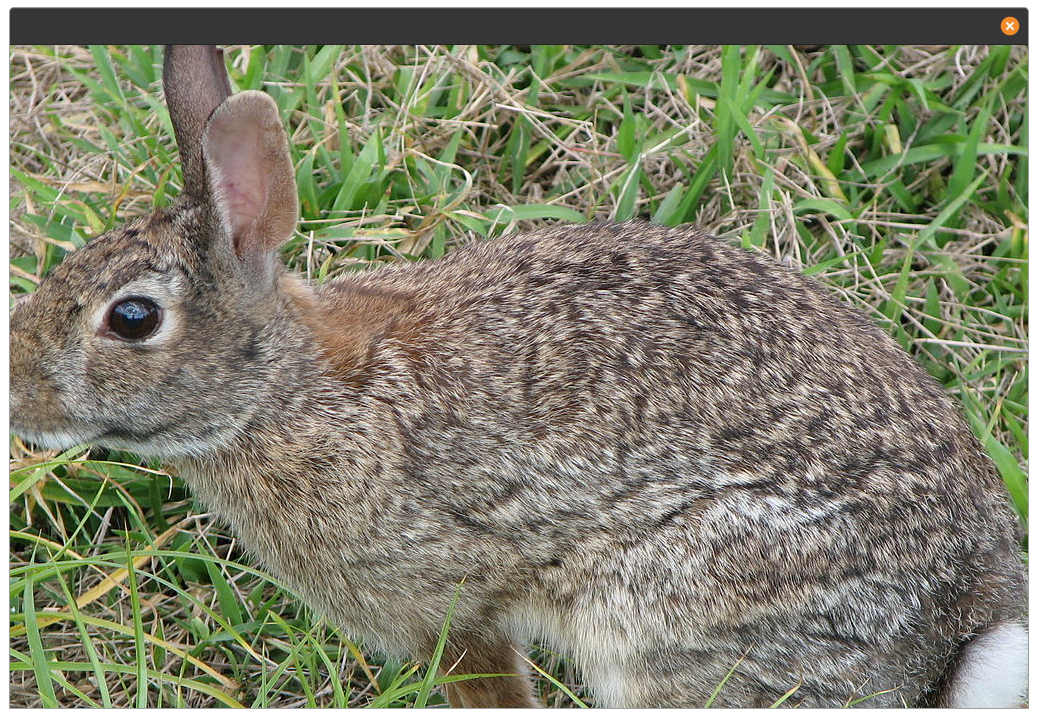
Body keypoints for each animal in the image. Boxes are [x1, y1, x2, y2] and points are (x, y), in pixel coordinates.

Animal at [9, 45, 1027, 708]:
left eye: (131, 318)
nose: (17, 396)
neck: (289, 397)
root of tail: (961, 619)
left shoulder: (453, 608)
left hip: (672, 618)